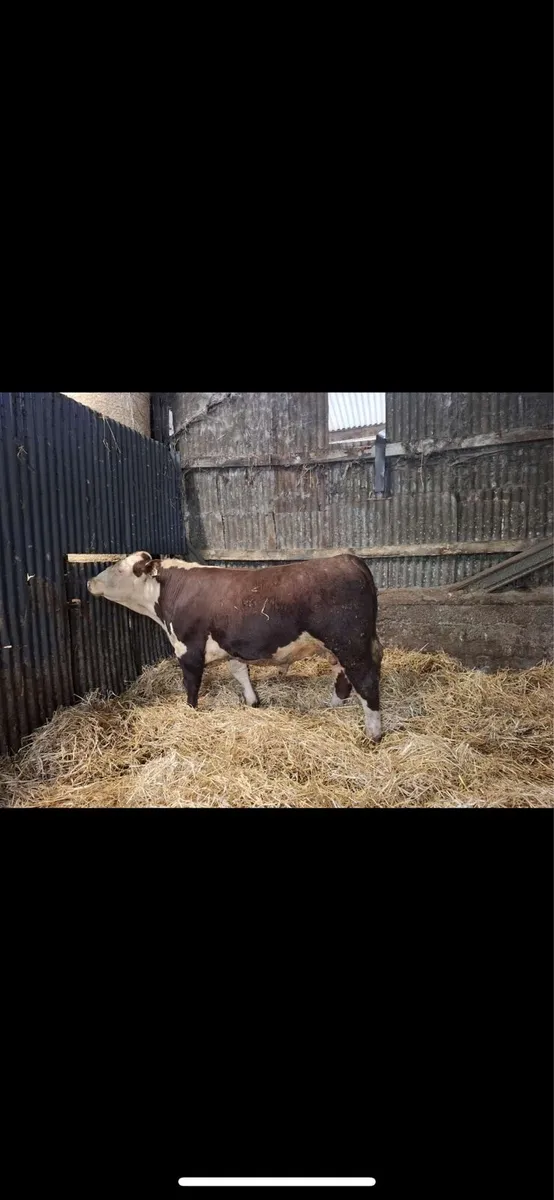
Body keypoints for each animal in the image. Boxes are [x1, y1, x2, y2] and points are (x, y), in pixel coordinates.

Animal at [87, 552, 383, 741]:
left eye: (119, 569)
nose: (90, 582)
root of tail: (348, 559)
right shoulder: (232, 645)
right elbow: (240, 673)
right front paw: (253, 702)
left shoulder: (187, 648)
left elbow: (191, 684)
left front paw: (190, 711)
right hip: (343, 647)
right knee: (343, 677)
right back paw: (332, 706)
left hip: (351, 644)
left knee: (365, 681)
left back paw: (373, 734)